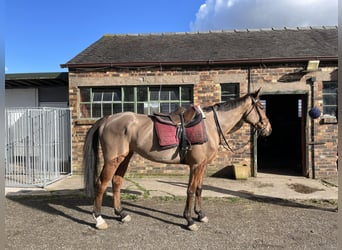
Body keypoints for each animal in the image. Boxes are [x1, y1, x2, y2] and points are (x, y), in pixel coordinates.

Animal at [83, 89, 270, 231]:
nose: (268, 128)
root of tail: (107, 119)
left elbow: (199, 189)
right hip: (113, 160)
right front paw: (189, 220)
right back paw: (99, 219)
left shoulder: (202, 166)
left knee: (116, 182)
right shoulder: (196, 165)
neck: (210, 125)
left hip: (125, 158)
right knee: (101, 184)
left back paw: (121, 214)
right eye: (261, 106)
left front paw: (200, 215)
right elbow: (190, 190)